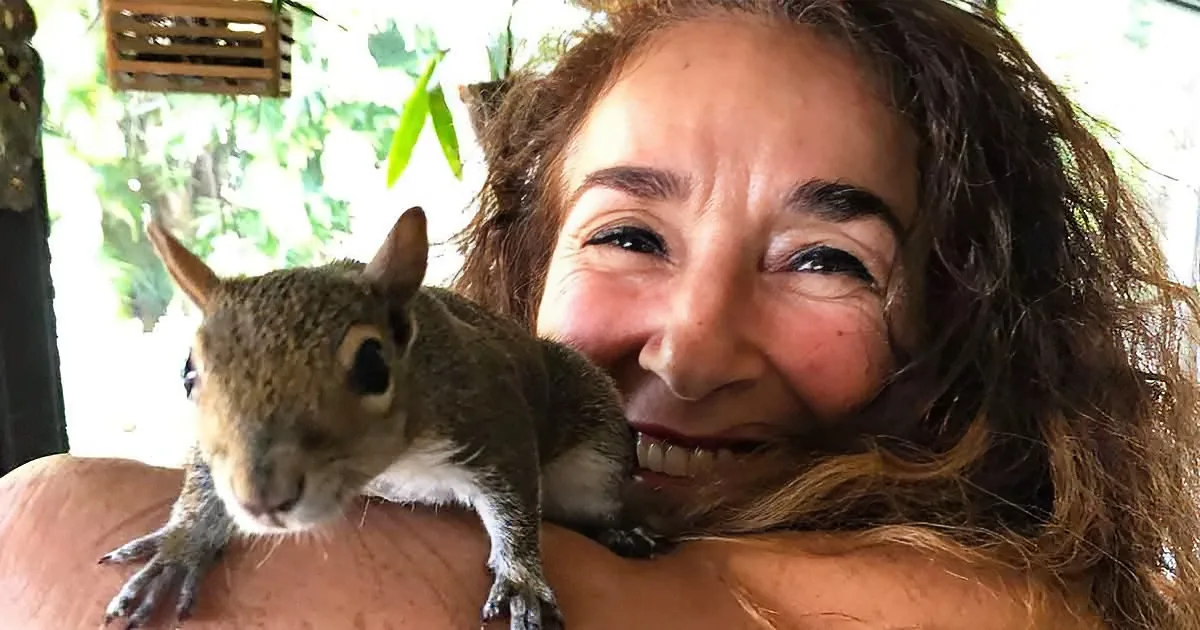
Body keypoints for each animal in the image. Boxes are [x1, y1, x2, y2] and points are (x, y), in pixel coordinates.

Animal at [98, 206, 665, 630]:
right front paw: (180, 546)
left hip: (593, 458)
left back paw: (622, 533)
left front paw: (521, 578)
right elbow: (201, 477)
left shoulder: (490, 411)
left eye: (373, 364)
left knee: (593, 508)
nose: (261, 498)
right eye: (187, 371)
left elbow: (516, 502)